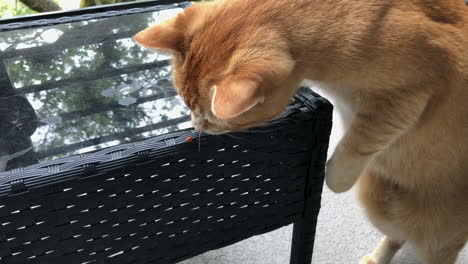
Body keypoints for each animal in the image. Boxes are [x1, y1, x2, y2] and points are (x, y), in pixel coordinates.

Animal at [134, 1, 468, 262]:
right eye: (184, 103)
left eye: (210, 120)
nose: (195, 126)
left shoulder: (408, 96)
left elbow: (360, 141)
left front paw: (333, 176)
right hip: (377, 204)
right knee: (396, 235)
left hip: (433, 238)